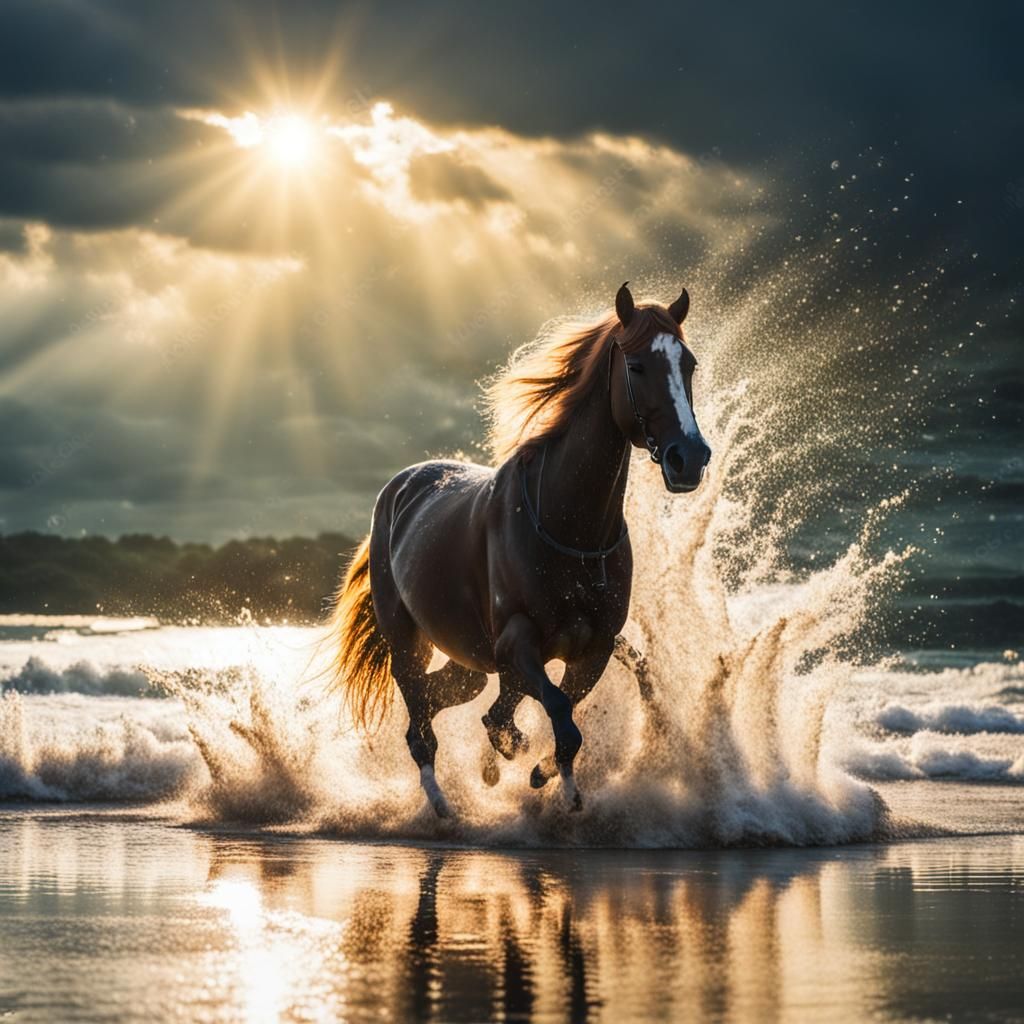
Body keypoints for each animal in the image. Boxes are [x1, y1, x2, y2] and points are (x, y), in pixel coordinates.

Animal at [327, 282, 712, 816]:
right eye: (636, 366)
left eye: (688, 364)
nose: (689, 459)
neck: (573, 532)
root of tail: (399, 488)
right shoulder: (517, 643)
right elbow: (556, 715)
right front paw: (559, 785)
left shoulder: (592, 649)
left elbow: (560, 713)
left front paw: (533, 769)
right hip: (405, 640)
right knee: (420, 725)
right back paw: (442, 805)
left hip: (467, 660)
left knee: (443, 699)